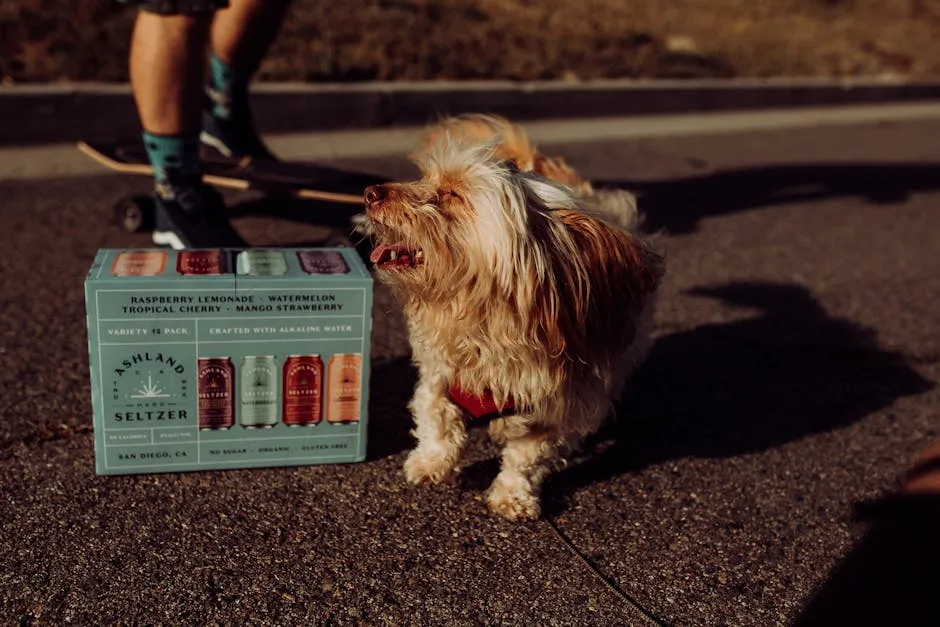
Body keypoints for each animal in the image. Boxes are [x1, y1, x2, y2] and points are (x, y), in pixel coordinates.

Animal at [360, 116, 660, 520]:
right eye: (426, 178)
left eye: (452, 195)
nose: (370, 192)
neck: (485, 323)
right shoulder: (439, 373)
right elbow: (437, 420)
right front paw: (430, 463)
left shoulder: (558, 405)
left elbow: (526, 457)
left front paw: (512, 495)